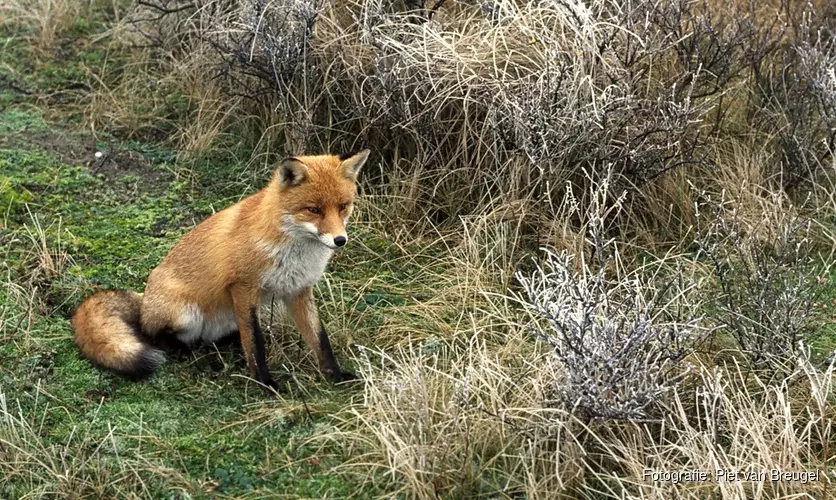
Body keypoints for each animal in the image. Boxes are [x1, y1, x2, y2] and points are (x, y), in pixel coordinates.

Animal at [70, 150, 370, 392]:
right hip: (185, 313)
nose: (340, 240)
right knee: (153, 334)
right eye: (313, 209)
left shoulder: (299, 290)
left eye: (343, 206)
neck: (292, 250)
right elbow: (256, 343)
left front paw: (336, 376)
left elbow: (320, 339)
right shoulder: (243, 287)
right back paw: (186, 352)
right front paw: (265, 384)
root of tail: (144, 299)